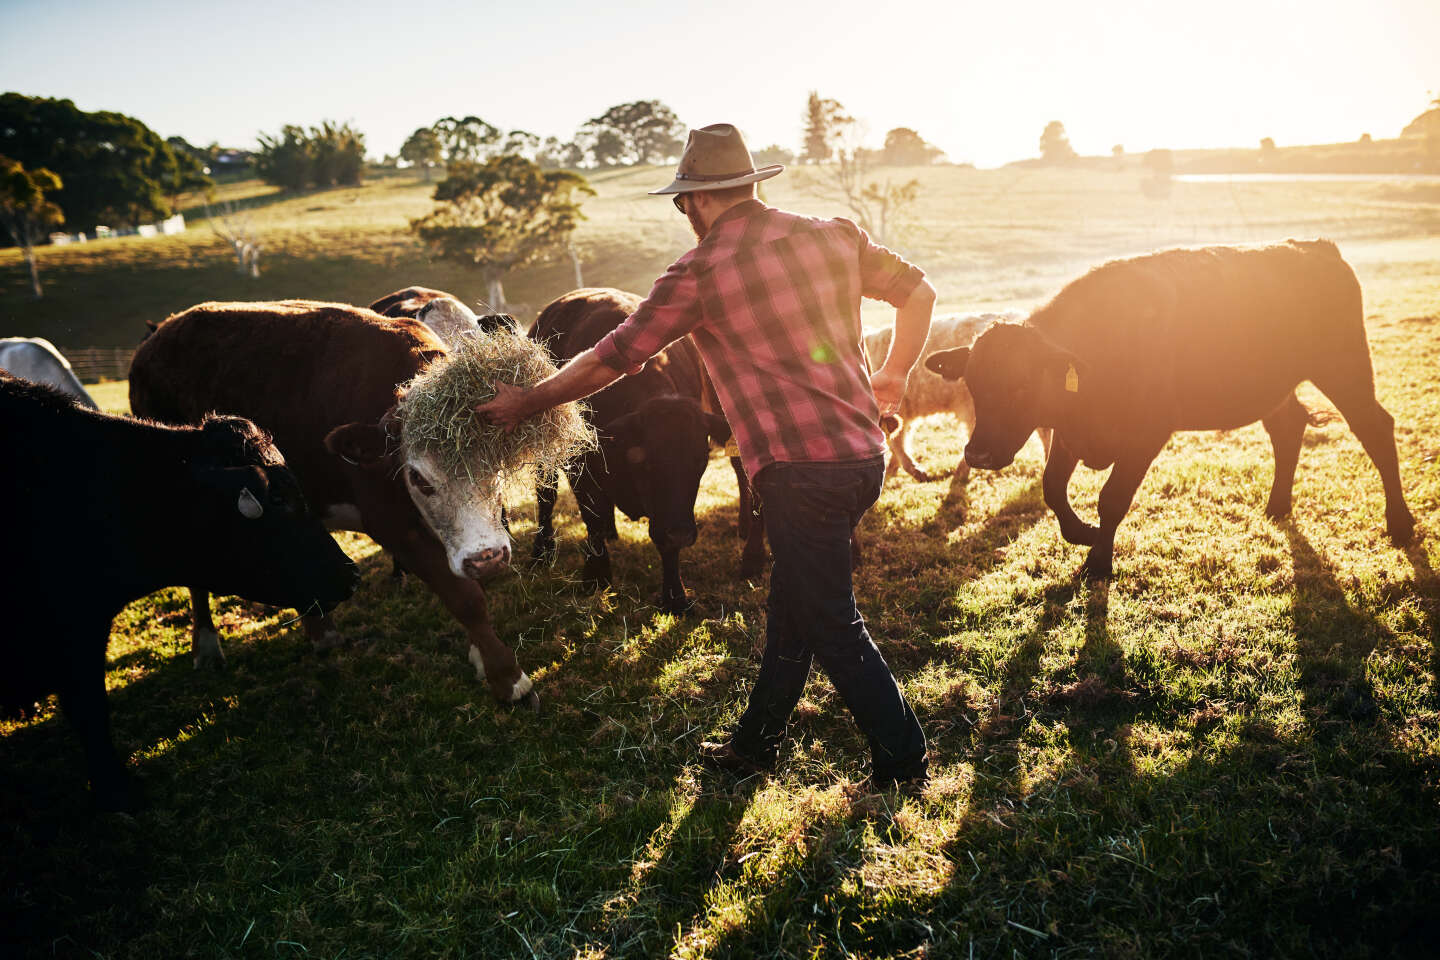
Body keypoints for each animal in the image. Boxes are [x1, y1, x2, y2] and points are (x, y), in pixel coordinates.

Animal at [129, 300, 590, 713]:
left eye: (495, 466)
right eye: (418, 478)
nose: (487, 557)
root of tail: (160, 334)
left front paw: (482, 656)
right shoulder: (392, 524)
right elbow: (465, 597)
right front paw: (509, 680)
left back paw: (321, 631)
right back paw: (207, 645)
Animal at [529, 289, 731, 613]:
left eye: (701, 461)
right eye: (646, 464)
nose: (683, 532)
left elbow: (665, 544)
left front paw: (675, 596)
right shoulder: (582, 468)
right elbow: (592, 520)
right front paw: (595, 578)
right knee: (545, 496)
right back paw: (542, 552)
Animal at [921, 244, 1416, 581]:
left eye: (1021, 386)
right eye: (973, 384)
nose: (978, 454)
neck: (1100, 346)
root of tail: (1315, 247)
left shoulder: (1147, 433)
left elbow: (1111, 498)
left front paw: (1098, 561)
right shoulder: (1070, 433)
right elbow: (1052, 488)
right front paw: (1083, 534)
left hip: (1344, 367)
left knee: (1375, 427)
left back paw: (1400, 522)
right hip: (1277, 388)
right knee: (1288, 427)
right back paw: (1277, 506)